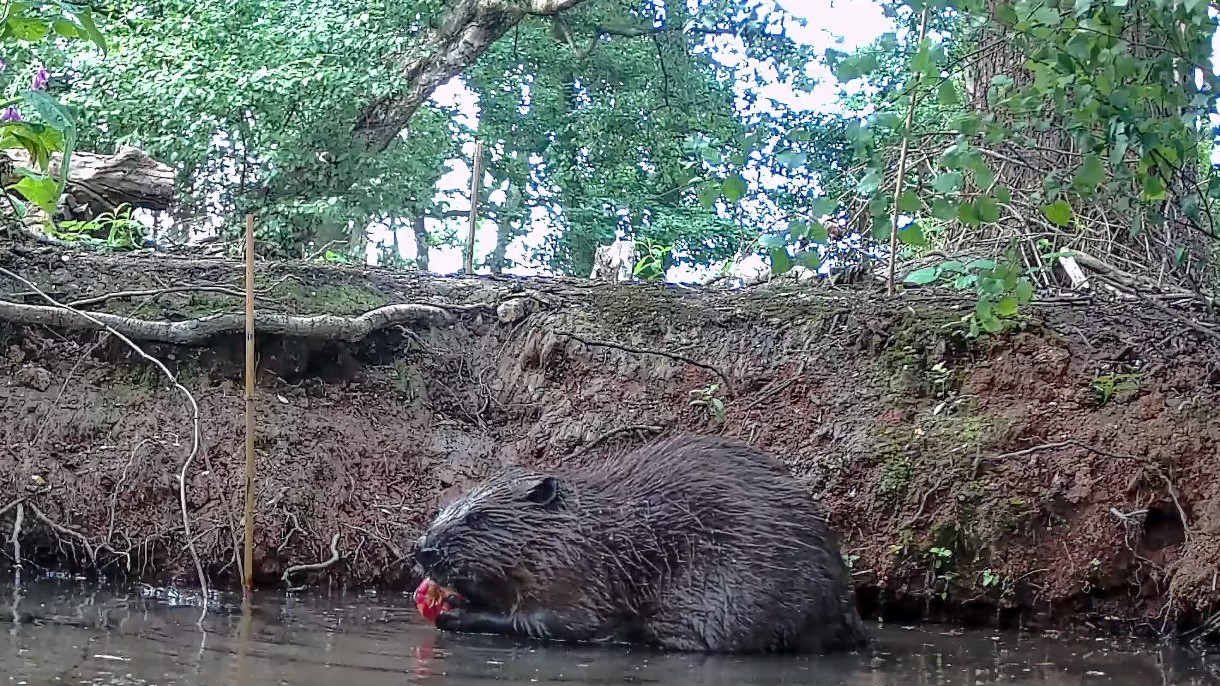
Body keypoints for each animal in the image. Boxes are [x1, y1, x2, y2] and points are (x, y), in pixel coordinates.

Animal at [409, 432, 868, 649]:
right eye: (444, 508)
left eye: (477, 517)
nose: (422, 549)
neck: (584, 528)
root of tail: (849, 612)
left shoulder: (581, 578)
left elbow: (557, 624)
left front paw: (456, 613)